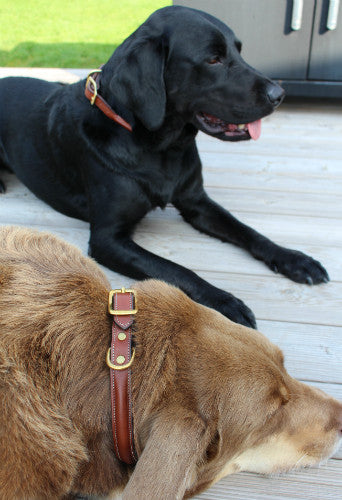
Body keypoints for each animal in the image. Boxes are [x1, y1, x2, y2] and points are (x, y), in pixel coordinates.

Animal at [0, 6, 328, 328]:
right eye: (213, 59)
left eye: (239, 51)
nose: (279, 95)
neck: (161, 147)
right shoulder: (108, 238)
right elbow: (176, 270)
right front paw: (225, 301)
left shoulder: (197, 203)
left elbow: (248, 231)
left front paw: (295, 259)